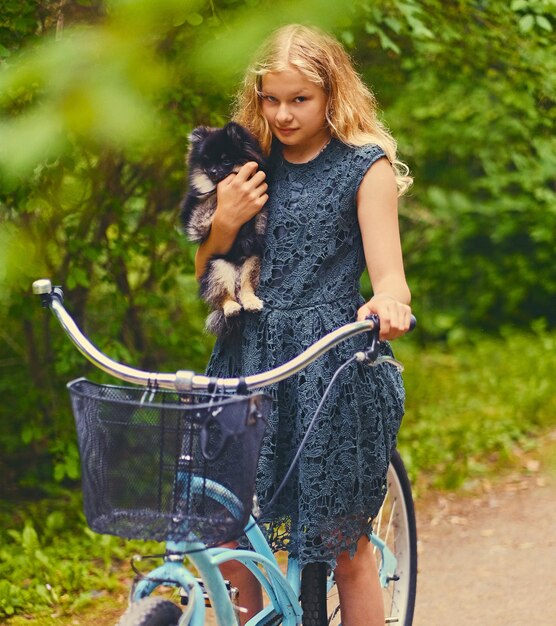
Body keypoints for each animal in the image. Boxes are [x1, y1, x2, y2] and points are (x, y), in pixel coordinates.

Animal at [180, 122, 268, 336]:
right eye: (207, 162)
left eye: (225, 161)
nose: (212, 171)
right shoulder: (194, 219)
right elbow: (209, 202)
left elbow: (258, 224)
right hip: (218, 266)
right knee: (225, 296)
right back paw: (231, 307)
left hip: (252, 263)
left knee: (246, 287)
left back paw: (251, 302)